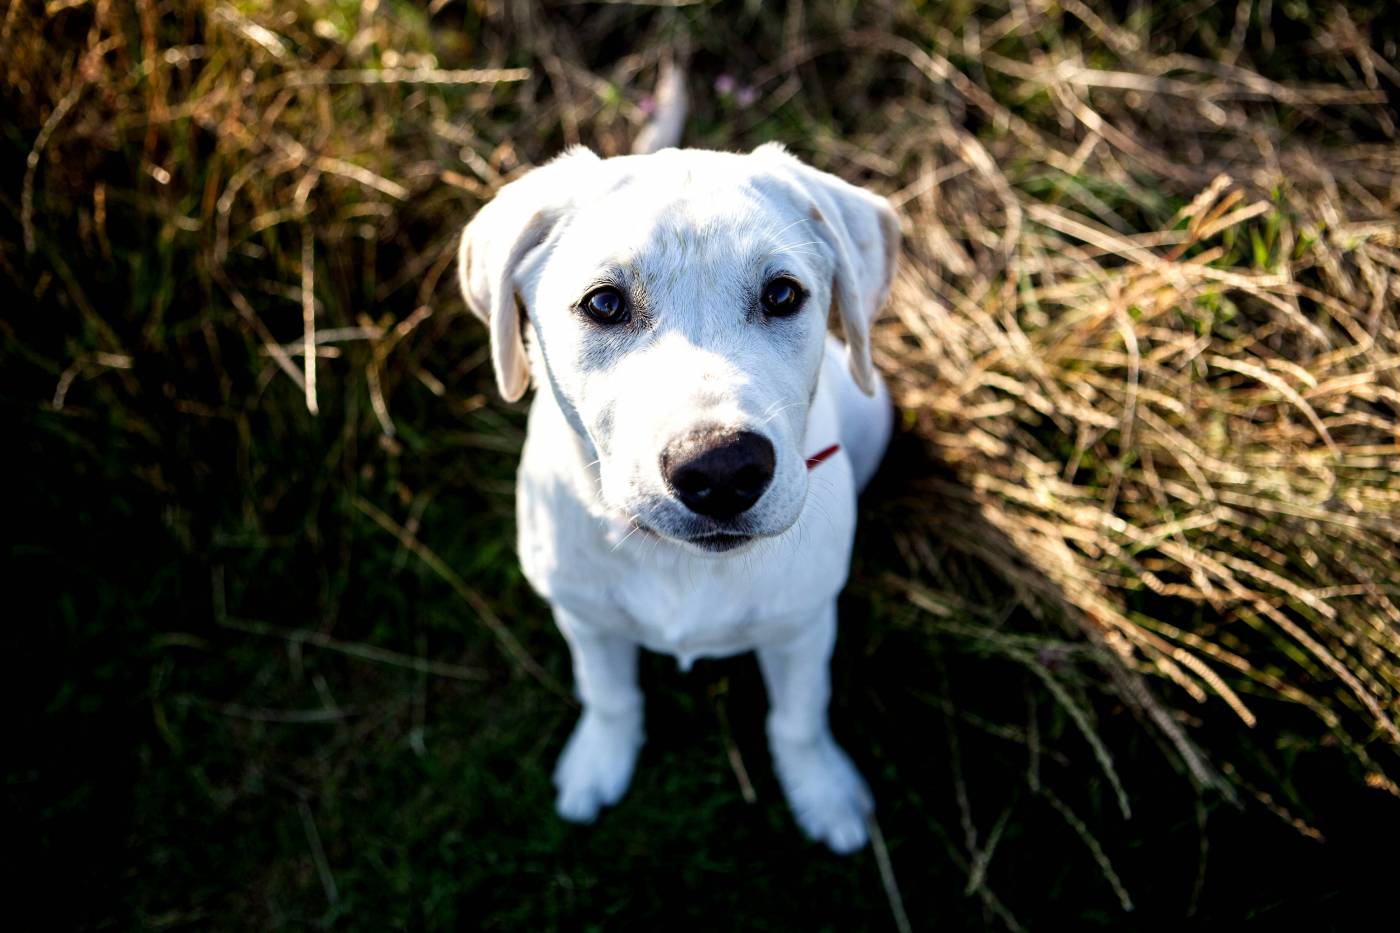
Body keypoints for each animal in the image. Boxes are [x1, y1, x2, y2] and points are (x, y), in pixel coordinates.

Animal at [459, 143, 896, 851]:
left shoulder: (803, 623)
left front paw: (822, 791)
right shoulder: (584, 616)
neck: (676, 561)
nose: (722, 469)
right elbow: (609, 694)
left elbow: (799, 717)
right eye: (604, 304)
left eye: (782, 294)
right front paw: (598, 763)